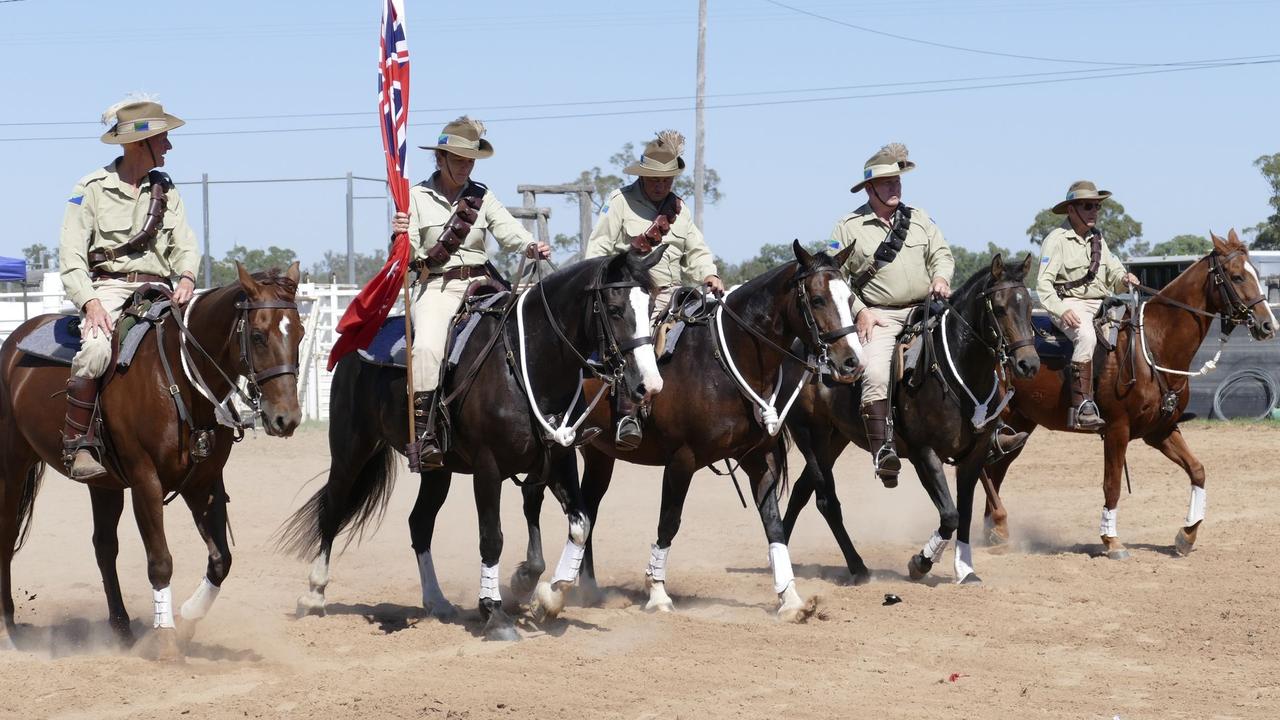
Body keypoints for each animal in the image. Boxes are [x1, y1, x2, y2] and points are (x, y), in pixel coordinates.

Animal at [0, 263, 302, 655]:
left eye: (300, 333)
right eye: (259, 335)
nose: (286, 418)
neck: (180, 376)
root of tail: (13, 343)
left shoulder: (204, 483)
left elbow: (221, 560)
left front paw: (187, 617)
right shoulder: (146, 482)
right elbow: (160, 561)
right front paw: (166, 638)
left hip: (103, 483)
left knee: (104, 547)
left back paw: (121, 627)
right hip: (11, 465)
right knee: (7, 535)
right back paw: (8, 626)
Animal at [277, 251, 660, 638]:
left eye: (651, 306)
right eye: (614, 309)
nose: (649, 385)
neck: (525, 363)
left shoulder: (559, 461)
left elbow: (581, 525)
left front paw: (548, 597)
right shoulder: (487, 469)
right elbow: (492, 537)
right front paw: (495, 613)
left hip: (436, 470)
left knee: (419, 523)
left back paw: (436, 601)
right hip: (351, 449)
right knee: (333, 508)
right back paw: (314, 593)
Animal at [524, 240, 865, 622]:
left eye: (850, 297)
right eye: (818, 299)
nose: (852, 361)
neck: (723, 359)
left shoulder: (758, 459)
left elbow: (773, 525)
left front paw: (790, 599)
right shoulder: (682, 460)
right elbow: (668, 523)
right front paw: (658, 594)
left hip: (599, 455)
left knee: (589, 509)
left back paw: (588, 588)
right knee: (538, 496)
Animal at [778, 252, 1039, 584]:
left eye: (1029, 307)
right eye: (1001, 308)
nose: (1028, 364)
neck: (954, 371)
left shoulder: (974, 456)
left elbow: (964, 513)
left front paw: (966, 570)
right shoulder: (923, 453)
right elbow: (950, 515)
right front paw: (921, 562)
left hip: (834, 440)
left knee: (801, 492)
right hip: (810, 436)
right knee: (825, 501)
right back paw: (857, 567)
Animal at [977, 233, 1269, 558]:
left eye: (1255, 274)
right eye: (1237, 276)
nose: (1268, 324)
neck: (1153, 344)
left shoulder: (1161, 430)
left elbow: (1197, 470)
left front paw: (1187, 535)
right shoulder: (1118, 429)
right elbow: (1112, 484)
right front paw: (1111, 540)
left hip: (1020, 424)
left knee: (995, 468)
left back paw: (995, 531)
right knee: (983, 467)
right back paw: (998, 523)